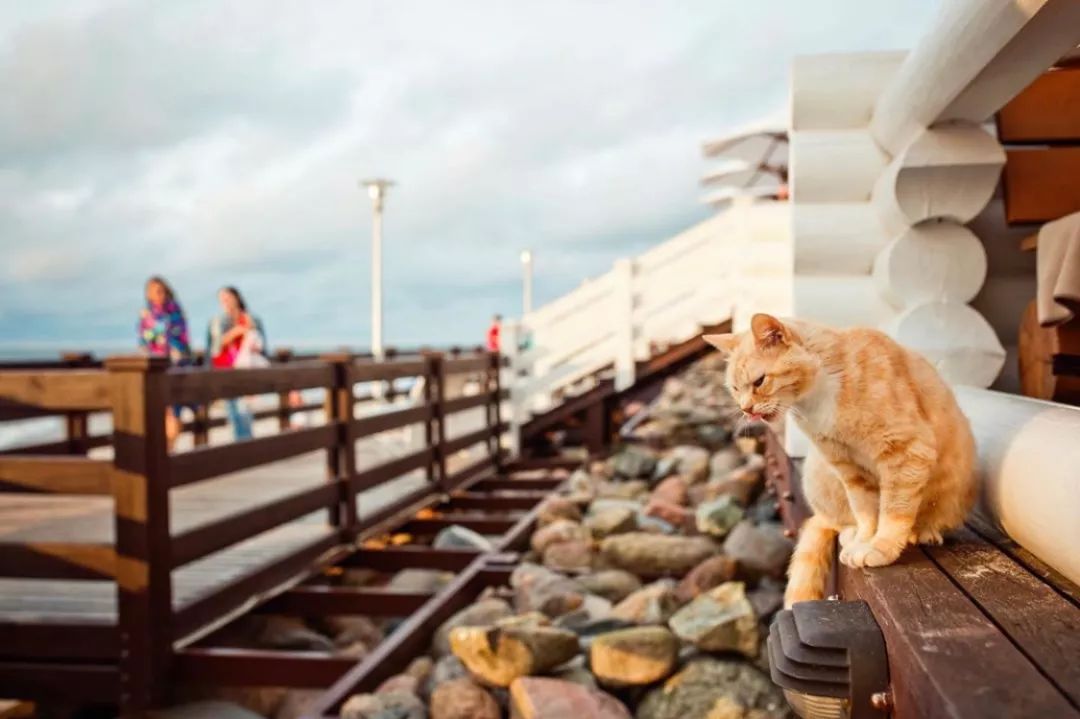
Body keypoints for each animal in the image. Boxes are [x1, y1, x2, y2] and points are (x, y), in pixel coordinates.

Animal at [704, 310, 976, 600]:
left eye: (759, 381)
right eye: (734, 389)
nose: (746, 409)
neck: (819, 396)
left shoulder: (906, 451)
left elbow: (893, 510)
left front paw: (881, 547)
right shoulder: (848, 468)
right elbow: (866, 511)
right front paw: (866, 539)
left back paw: (924, 532)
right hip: (818, 470)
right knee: (837, 521)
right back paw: (852, 534)